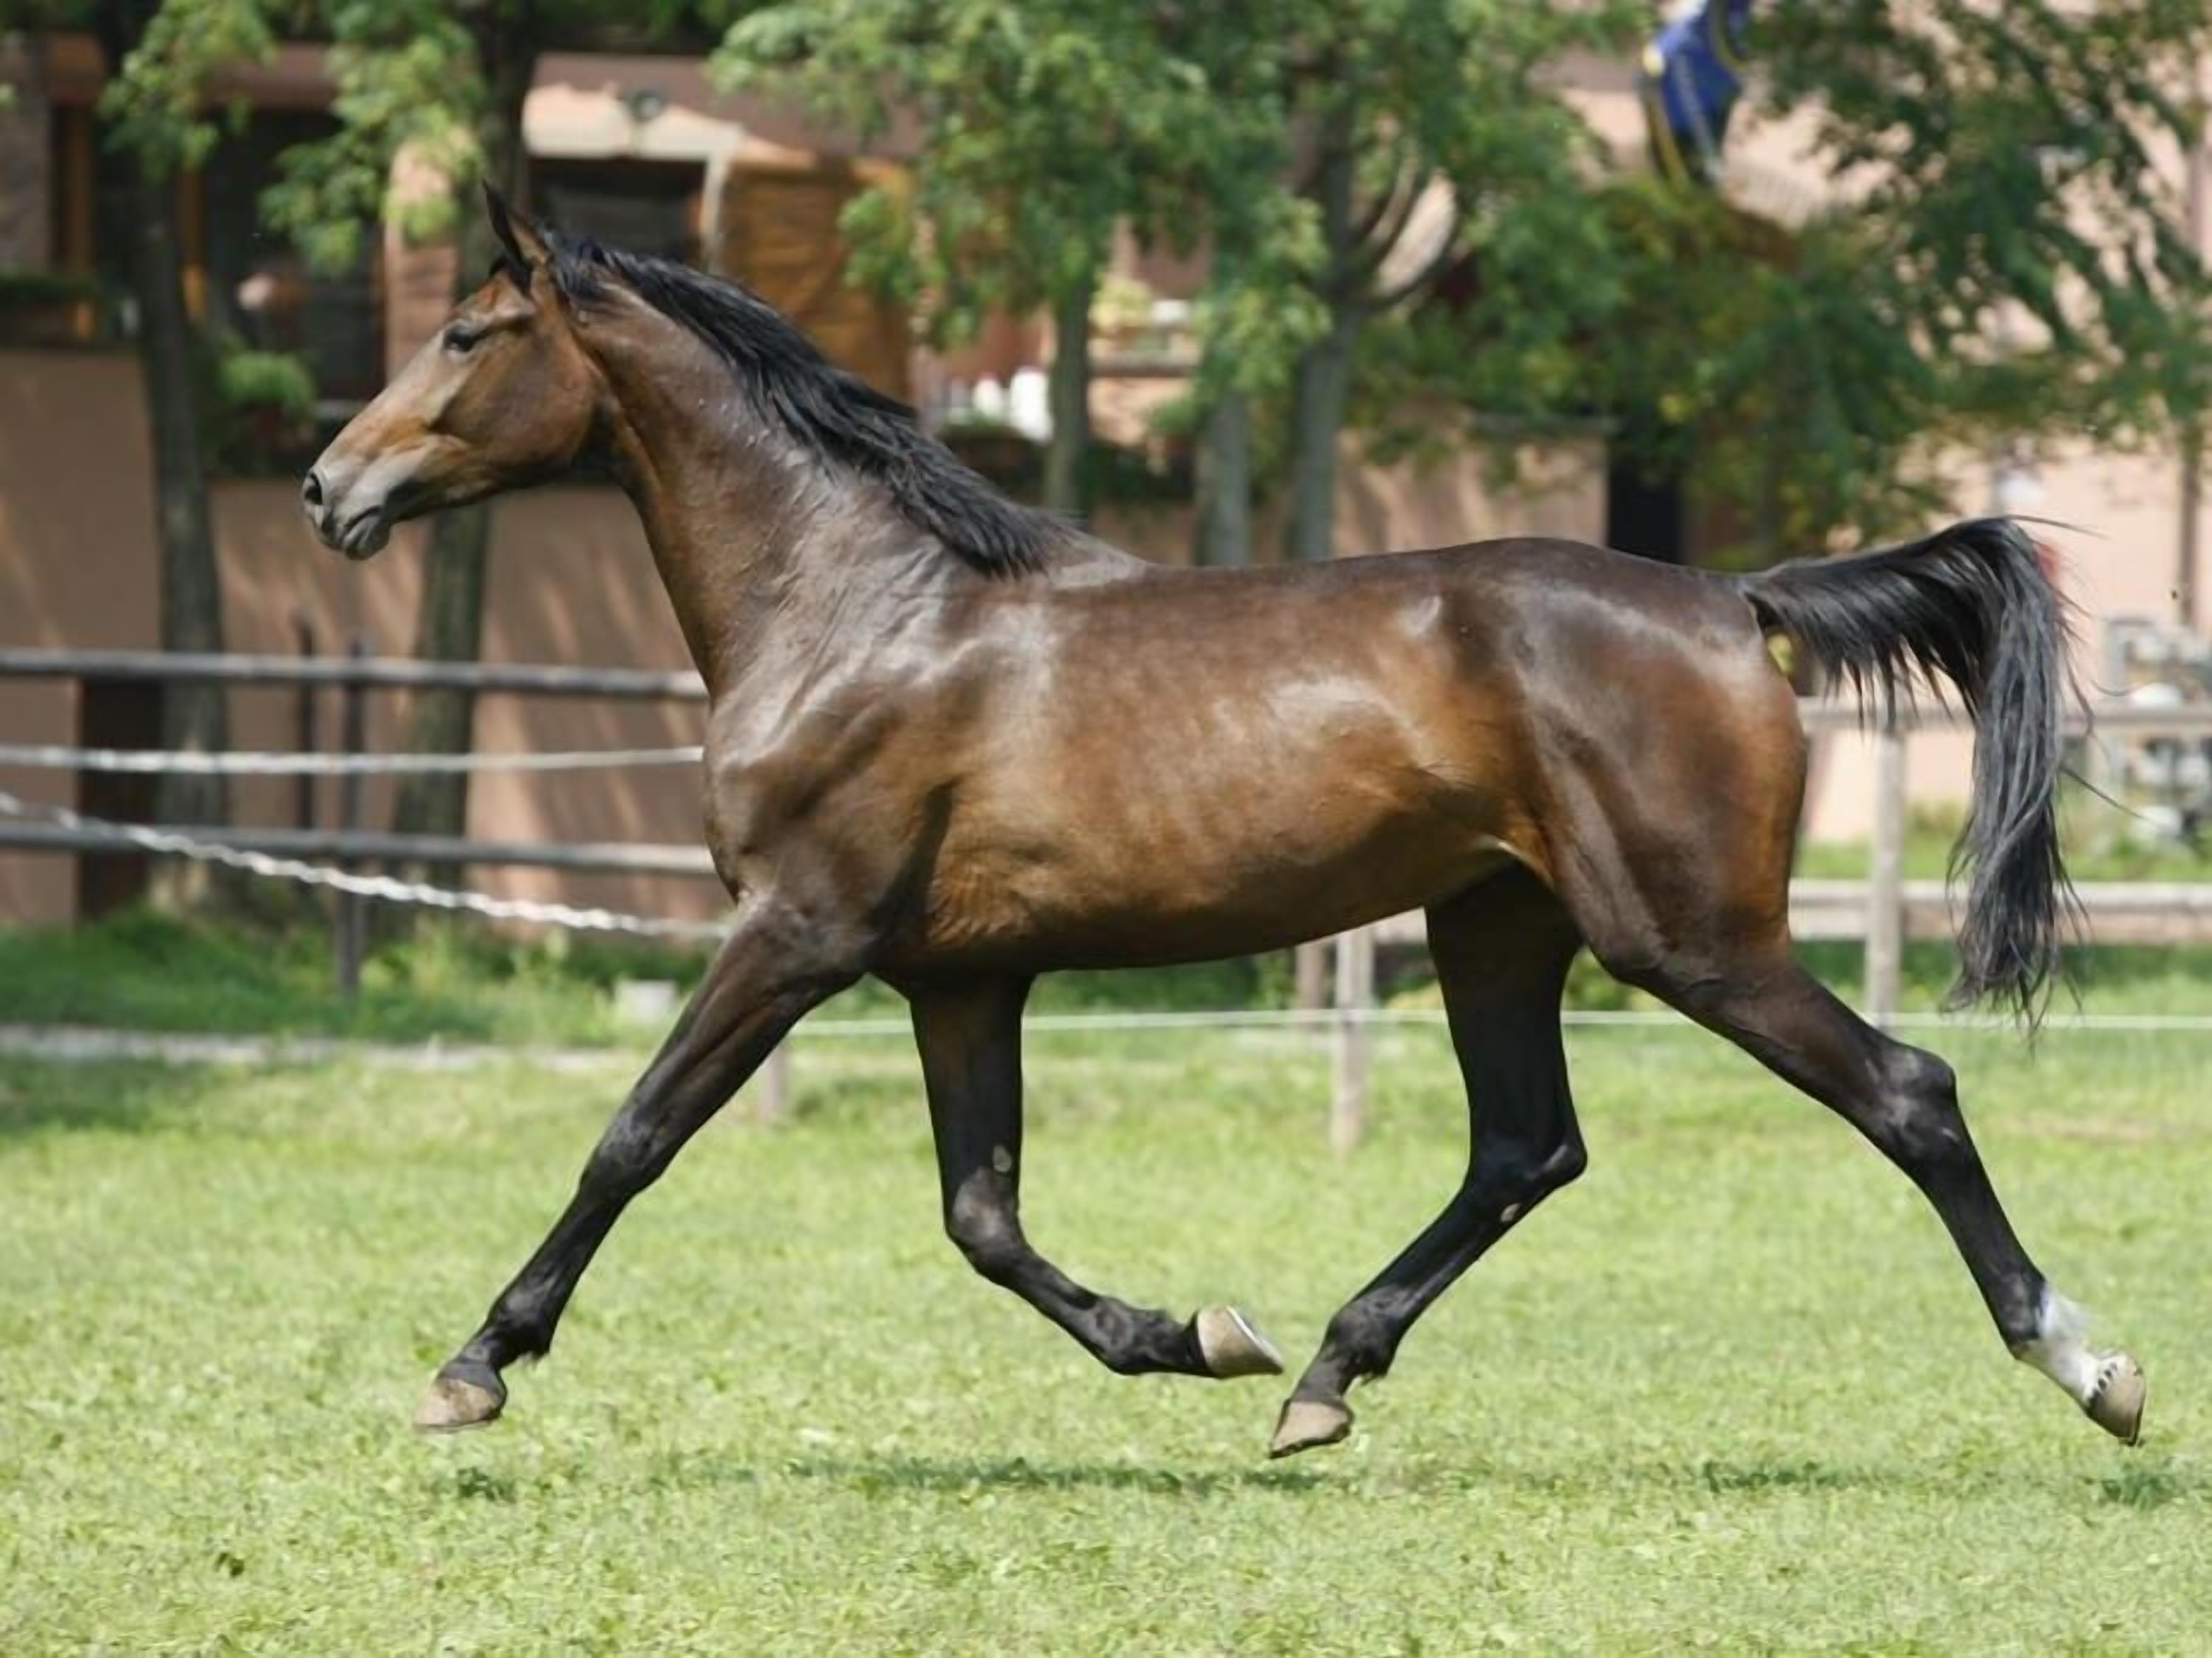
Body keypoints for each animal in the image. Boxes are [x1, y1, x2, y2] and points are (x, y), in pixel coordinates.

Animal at [303, 189, 2143, 1457]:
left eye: (469, 334)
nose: (331, 488)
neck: (858, 609)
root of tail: (1734, 597)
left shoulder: (796, 934)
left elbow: (632, 1135)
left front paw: (471, 1369)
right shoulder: (958, 978)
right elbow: (983, 1220)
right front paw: (1199, 1335)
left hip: (1688, 937)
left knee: (1905, 1093)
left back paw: (2090, 1366)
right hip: (1494, 921)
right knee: (1523, 1145)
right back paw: (1319, 1378)